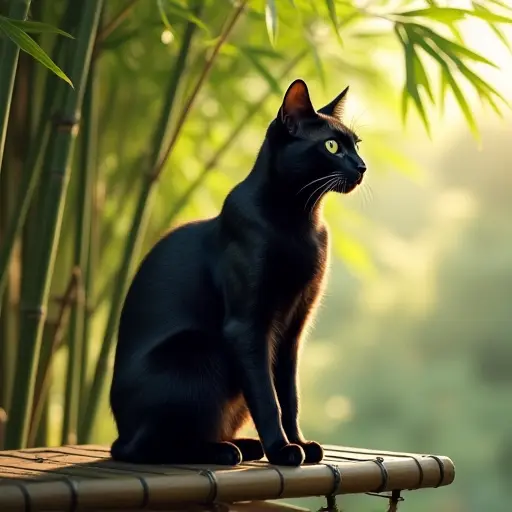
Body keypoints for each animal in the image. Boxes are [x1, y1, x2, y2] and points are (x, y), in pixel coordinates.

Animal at [110, 78, 366, 466]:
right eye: (332, 146)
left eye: (357, 144)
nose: (362, 166)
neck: (300, 220)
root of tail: (120, 431)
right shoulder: (247, 327)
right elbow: (267, 398)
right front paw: (283, 450)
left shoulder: (293, 330)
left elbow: (288, 396)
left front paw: (300, 444)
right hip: (202, 351)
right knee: (146, 447)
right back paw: (223, 451)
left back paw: (244, 446)